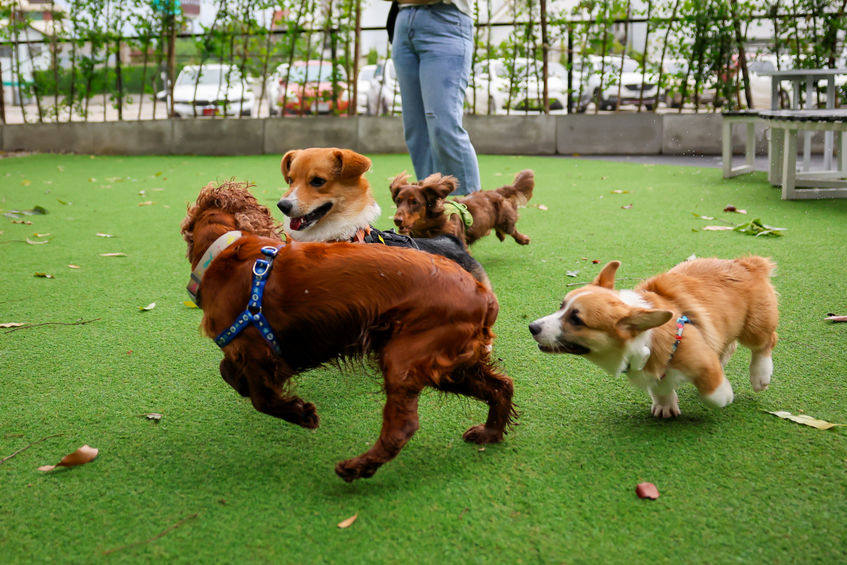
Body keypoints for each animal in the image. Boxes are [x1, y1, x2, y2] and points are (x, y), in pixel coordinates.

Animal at [532, 258, 780, 416]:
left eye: (577, 320)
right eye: (561, 306)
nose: (532, 327)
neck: (646, 338)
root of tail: (748, 263)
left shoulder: (702, 363)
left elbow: (714, 396)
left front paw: (726, 395)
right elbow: (660, 385)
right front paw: (665, 404)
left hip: (755, 327)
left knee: (766, 342)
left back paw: (760, 376)